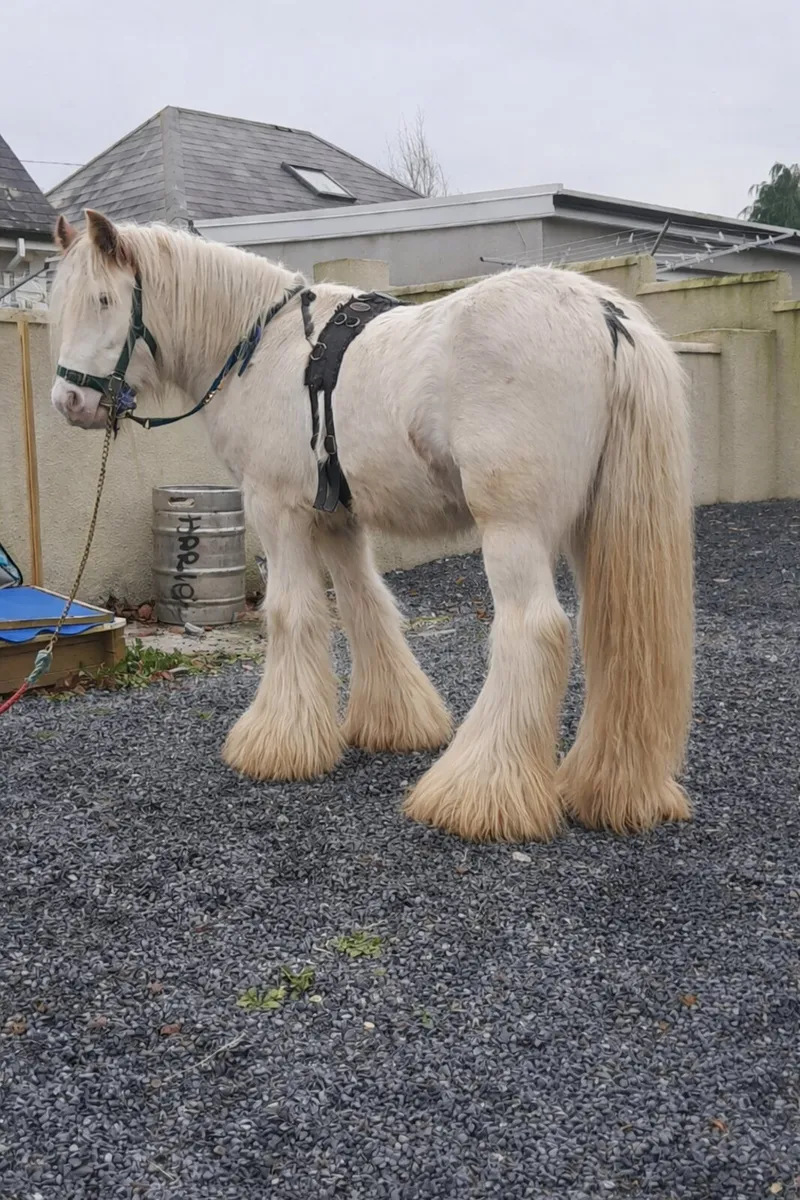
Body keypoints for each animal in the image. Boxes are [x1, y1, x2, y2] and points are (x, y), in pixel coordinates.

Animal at [49, 210, 694, 844]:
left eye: (103, 299)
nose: (68, 402)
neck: (264, 348)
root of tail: (604, 314)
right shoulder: (339, 518)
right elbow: (365, 607)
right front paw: (394, 721)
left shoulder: (276, 510)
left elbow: (291, 614)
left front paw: (277, 742)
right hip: (591, 529)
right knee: (612, 633)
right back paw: (612, 789)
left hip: (514, 530)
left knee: (534, 631)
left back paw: (477, 792)